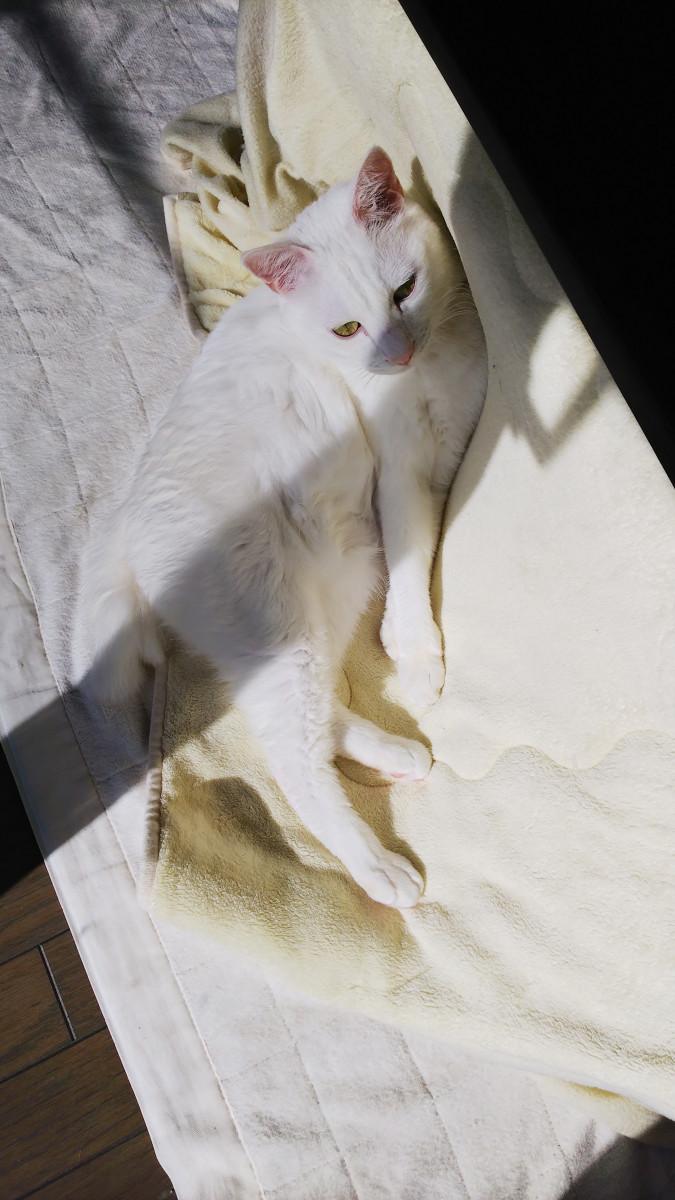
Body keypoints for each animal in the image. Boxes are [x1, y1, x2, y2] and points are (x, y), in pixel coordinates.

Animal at [73, 147, 487, 909]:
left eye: (404, 291)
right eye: (346, 330)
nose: (397, 353)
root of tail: (123, 532)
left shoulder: (446, 452)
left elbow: (427, 537)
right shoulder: (400, 470)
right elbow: (414, 556)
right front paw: (416, 653)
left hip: (332, 586)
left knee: (316, 717)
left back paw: (396, 752)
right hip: (277, 621)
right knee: (294, 759)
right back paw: (380, 868)